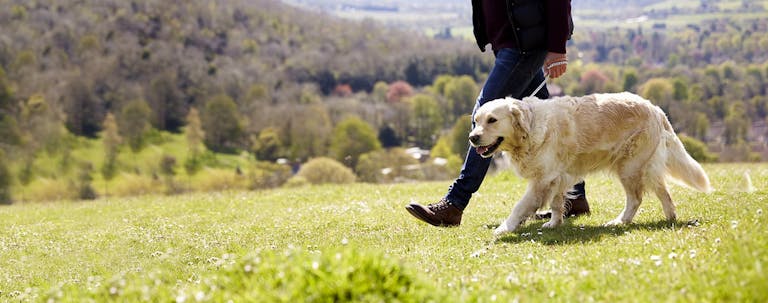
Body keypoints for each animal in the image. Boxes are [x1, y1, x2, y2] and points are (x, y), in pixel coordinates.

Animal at [468, 92, 712, 238]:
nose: (472, 138)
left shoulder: (542, 179)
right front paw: (554, 223)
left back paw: (623, 221)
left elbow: (520, 206)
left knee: (639, 198)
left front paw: (504, 228)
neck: (530, 128)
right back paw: (664, 218)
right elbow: (556, 203)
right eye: (476, 121)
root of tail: (655, 108)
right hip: (641, 167)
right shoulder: (557, 177)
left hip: (630, 167)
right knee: (661, 193)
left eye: (492, 120)